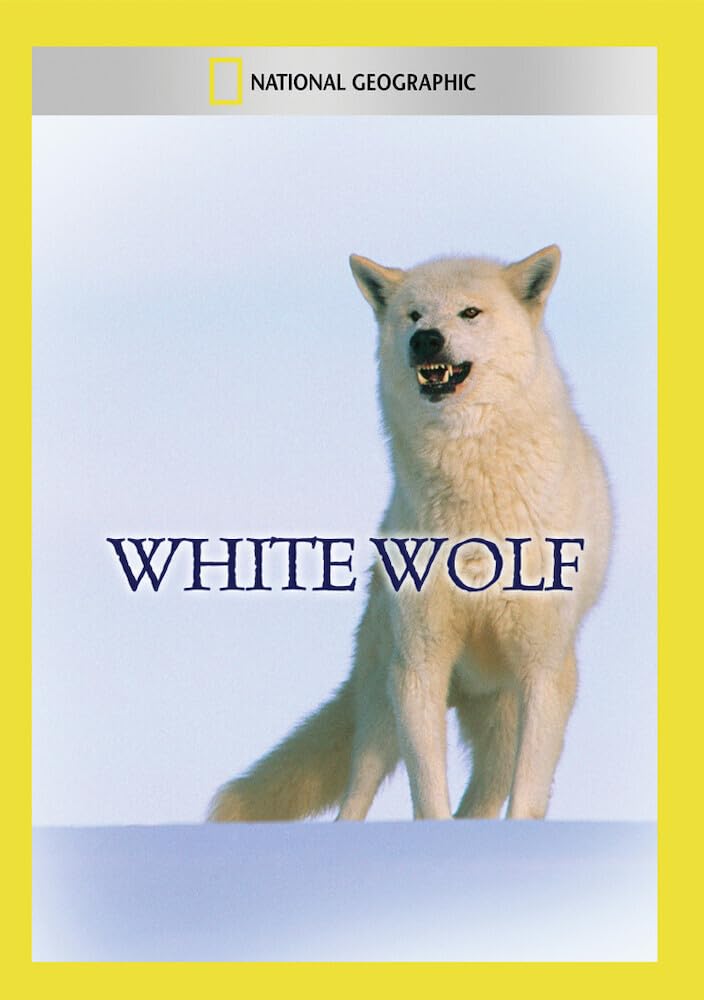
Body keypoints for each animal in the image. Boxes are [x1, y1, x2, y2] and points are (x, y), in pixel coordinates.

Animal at [209, 246, 612, 821]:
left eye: (470, 312)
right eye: (414, 315)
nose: (426, 339)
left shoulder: (542, 669)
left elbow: (528, 798)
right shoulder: (420, 665)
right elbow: (428, 794)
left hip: (503, 720)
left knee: (484, 798)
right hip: (385, 705)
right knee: (357, 797)